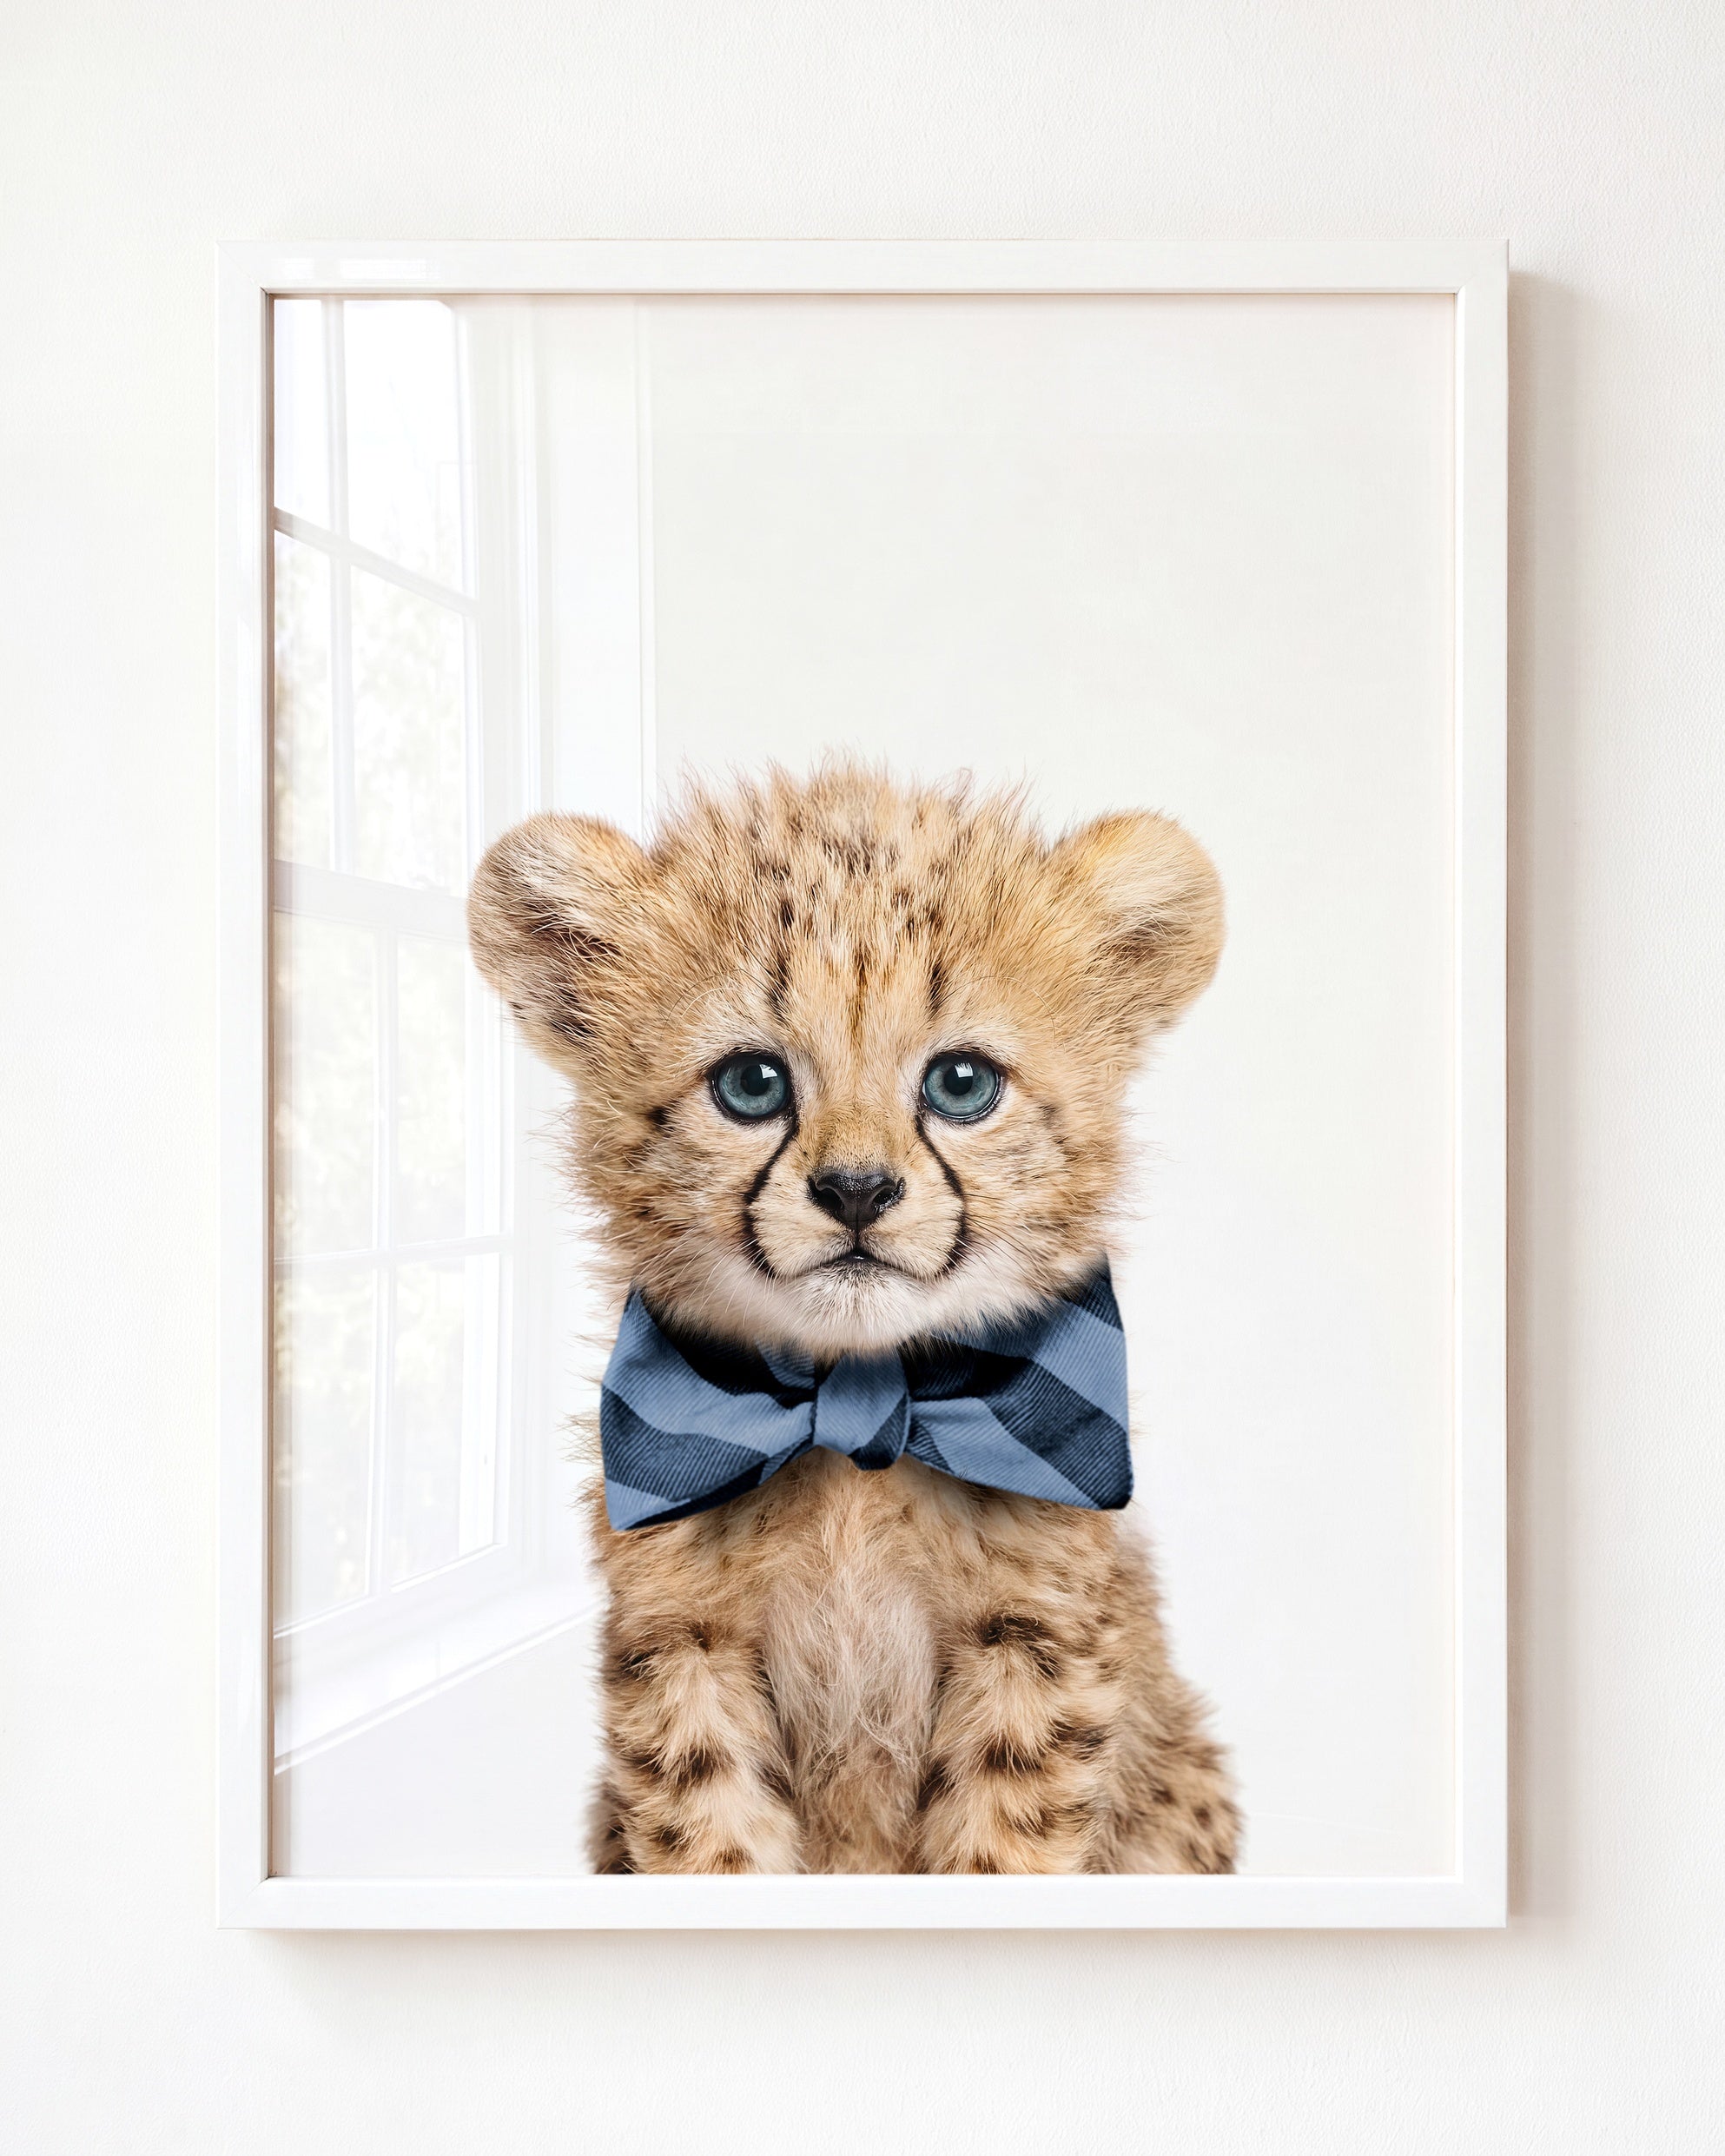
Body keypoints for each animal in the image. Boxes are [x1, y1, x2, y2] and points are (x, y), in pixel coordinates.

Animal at [469, 762, 1239, 1874]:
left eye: (961, 1082)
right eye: (752, 1083)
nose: (858, 1190)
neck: (856, 1407)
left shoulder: (1036, 1642)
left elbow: (1001, 1846)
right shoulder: (683, 1642)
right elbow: (712, 1839)